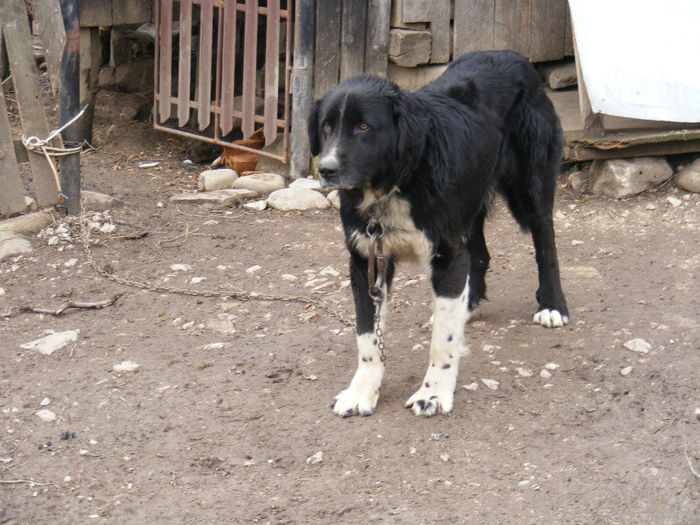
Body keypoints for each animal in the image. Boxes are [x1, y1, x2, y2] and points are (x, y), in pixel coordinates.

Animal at [308, 50, 568, 418]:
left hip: (532, 187)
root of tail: (511, 55)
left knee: (546, 245)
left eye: (363, 127)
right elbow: (367, 336)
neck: (399, 181)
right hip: (470, 206)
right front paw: (362, 391)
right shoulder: (365, 259)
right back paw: (468, 305)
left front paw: (433, 393)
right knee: (479, 255)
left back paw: (552, 305)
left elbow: (441, 344)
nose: (326, 170)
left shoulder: (446, 254)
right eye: (326, 126)